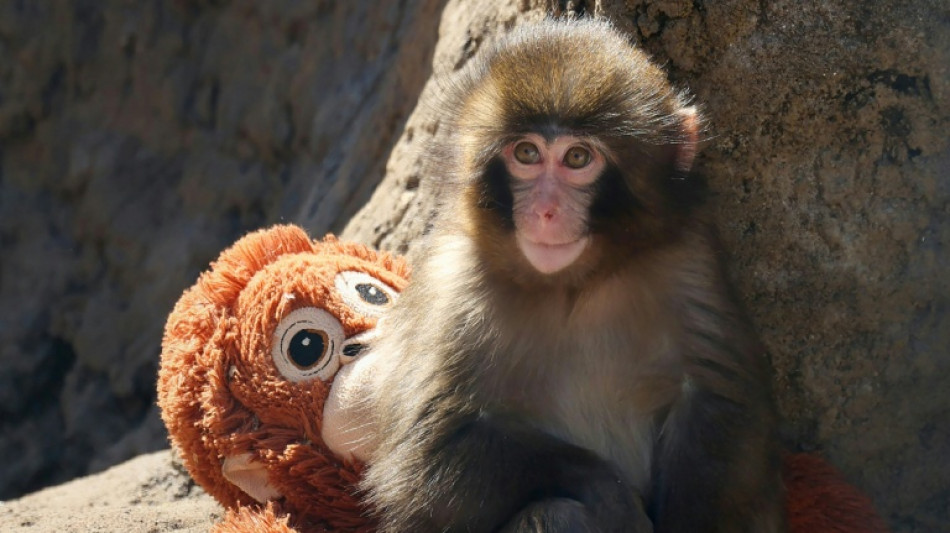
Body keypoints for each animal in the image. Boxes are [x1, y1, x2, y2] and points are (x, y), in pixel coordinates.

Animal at [357, 18, 785, 533]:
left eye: (578, 158)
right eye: (526, 153)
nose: (545, 211)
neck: (573, 285)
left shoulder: (687, 258)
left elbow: (719, 402)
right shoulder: (454, 285)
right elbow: (427, 460)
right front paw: (610, 493)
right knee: (555, 513)